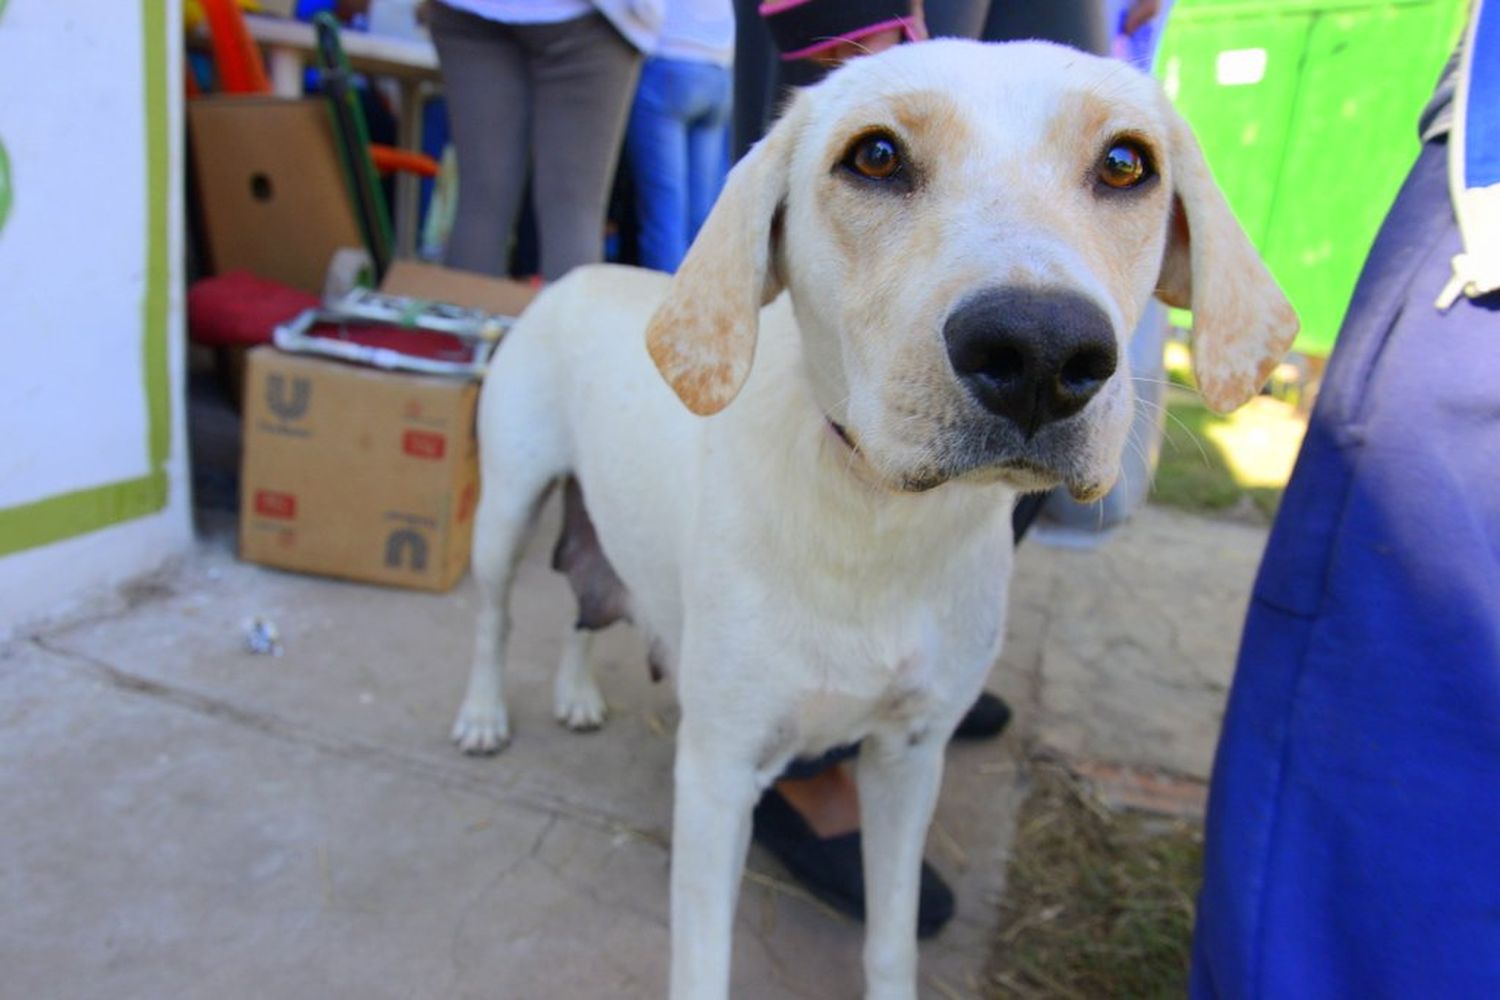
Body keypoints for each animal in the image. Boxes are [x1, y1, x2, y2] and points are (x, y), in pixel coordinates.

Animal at [450, 39, 1296, 1000]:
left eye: (1126, 163)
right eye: (877, 155)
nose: (1041, 352)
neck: (879, 527)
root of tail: (582, 269)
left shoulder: (908, 759)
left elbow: (890, 939)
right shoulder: (717, 774)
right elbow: (704, 962)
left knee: (586, 603)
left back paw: (577, 692)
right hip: (505, 512)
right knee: (496, 614)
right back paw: (484, 715)